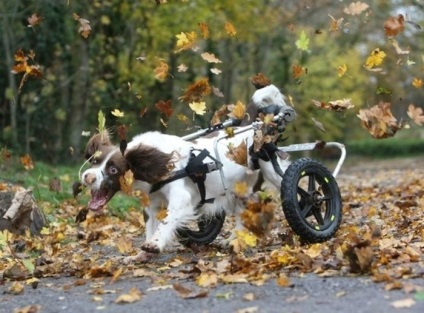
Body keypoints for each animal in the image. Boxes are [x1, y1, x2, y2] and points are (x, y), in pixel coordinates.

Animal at [80, 125, 290, 262]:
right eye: (94, 161)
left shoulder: (181, 197)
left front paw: (154, 245)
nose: (87, 177)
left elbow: (167, 221)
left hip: (270, 170)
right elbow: (151, 227)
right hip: (238, 190)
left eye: (113, 169)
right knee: (241, 215)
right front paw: (142, 254)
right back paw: (233, 240)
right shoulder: (152, 203)